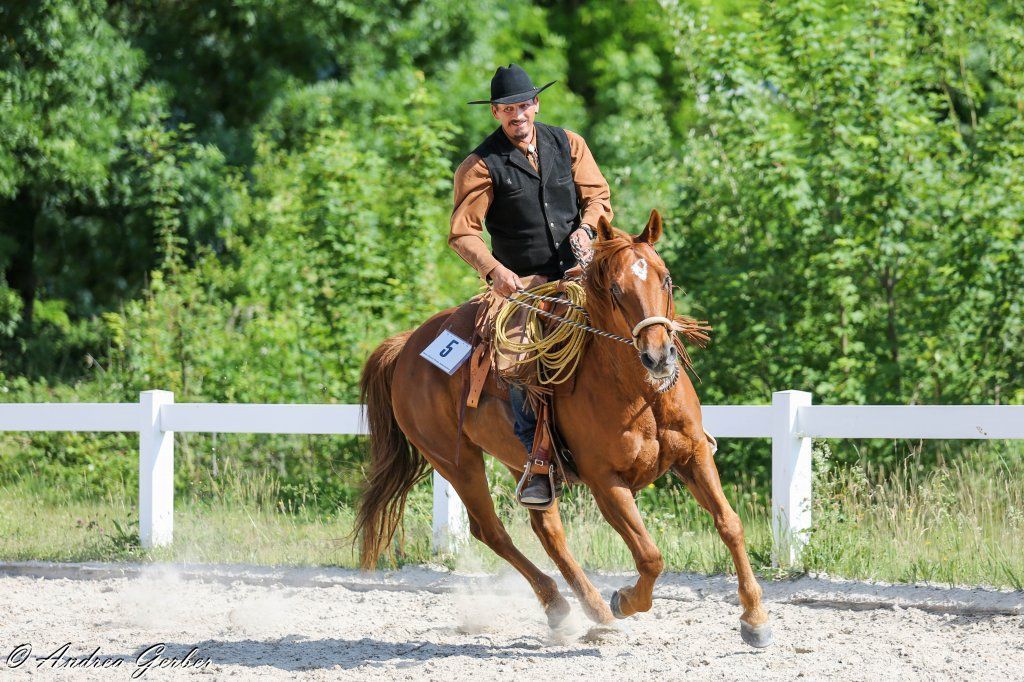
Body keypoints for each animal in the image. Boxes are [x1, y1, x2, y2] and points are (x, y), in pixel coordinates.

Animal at [354, 209, 772, 648]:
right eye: (616, 289)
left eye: (666, 278)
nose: (658, 357)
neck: (640, 395)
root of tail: (406, 346)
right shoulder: (607, 483)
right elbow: (649, 556)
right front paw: (625, 600)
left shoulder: (693, 456)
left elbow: (730, 524)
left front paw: (754, 617)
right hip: (455, 462)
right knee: (491, 531)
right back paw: (569, 608)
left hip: (520, 459)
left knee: (546, 528)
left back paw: (591, 610)